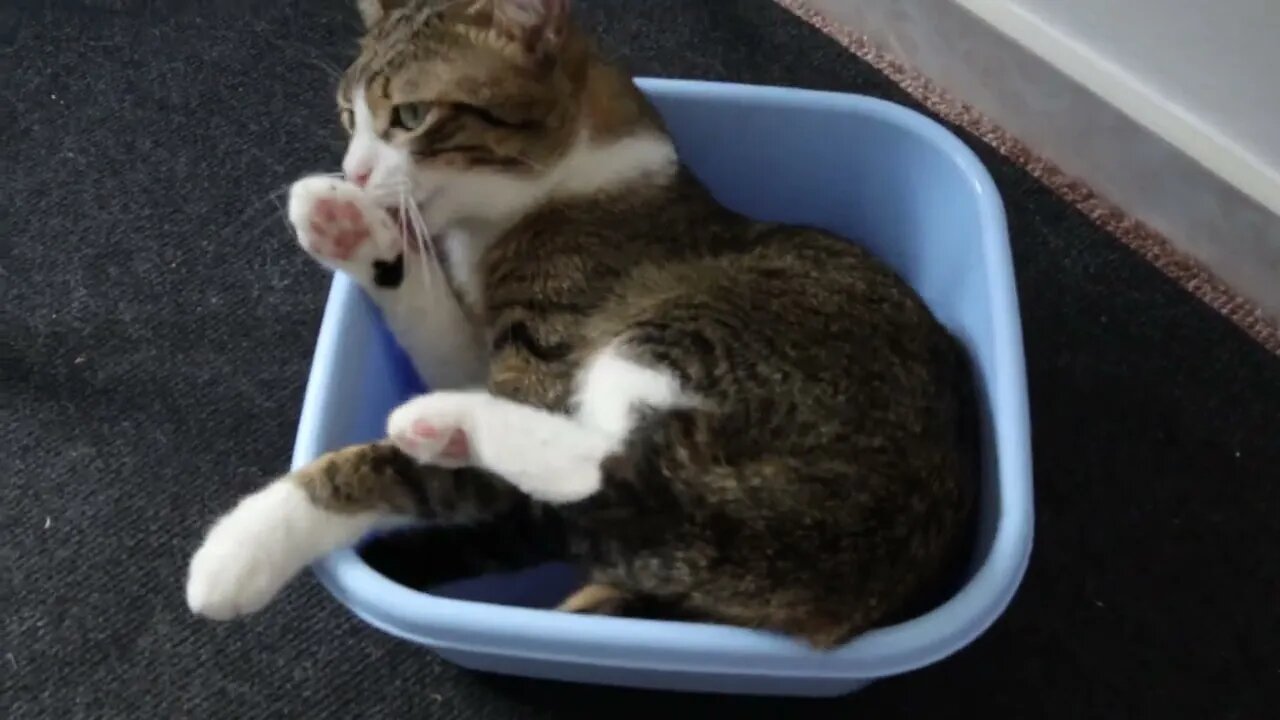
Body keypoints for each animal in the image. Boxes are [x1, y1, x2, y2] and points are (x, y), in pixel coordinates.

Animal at [185, 0, 972, 648]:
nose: (351, 173)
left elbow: (395, 463)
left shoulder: (551, 350)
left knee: (593, 465)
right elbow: (434, 316)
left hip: (691, 337)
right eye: (349, 119)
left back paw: (439, 425)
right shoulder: (478, 345)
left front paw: (246, 546)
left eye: (410, 116)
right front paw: (348, 228)